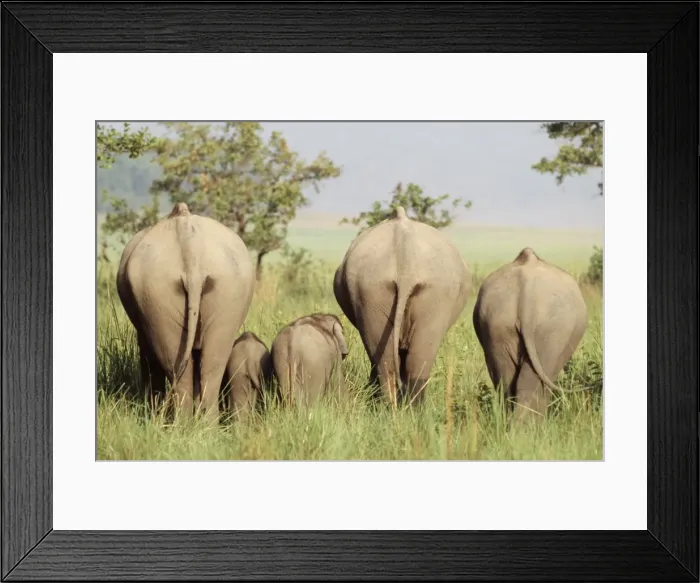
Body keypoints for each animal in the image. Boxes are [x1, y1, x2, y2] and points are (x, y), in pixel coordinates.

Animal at [116, 202, 255, 422]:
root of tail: (190, 245)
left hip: (159, 291)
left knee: (178, 365)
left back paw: (183, 425)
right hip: (219, 286)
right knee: (211, 363)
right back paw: (203, 426)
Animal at [333, 206, 470, 406]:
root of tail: (406, 266)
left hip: (377, 289)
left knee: (392, 359)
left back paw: (396, 408)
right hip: (381, 290)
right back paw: (402, 408)